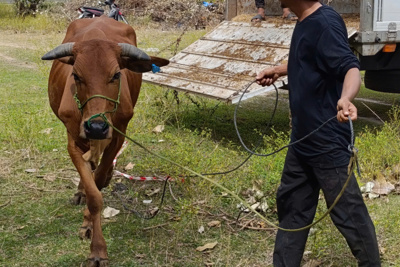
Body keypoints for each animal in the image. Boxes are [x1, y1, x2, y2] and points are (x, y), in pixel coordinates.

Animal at [41, 16, 169, 266]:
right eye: (76, 75)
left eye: (116, 75)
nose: (97, 127)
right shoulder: (73, 141)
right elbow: (94, 194)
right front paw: (96, 247)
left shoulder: (118, 135)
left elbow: (98, 182)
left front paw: (91, 229)